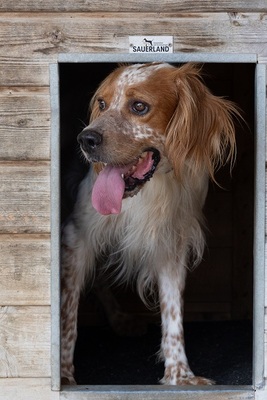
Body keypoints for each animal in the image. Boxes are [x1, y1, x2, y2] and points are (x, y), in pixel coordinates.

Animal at [61, 62, 239, 384]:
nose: (86, 140)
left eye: (139, 106)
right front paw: (63, 376)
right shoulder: (76, 235)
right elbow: (67, 314)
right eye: (102, 104)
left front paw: (180, 375)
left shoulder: (171, 244)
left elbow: (173, 313)